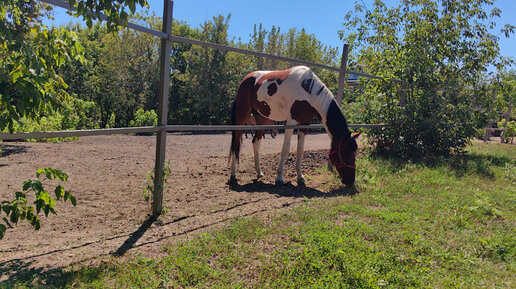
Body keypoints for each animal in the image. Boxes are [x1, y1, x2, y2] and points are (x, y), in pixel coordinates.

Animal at [230, 65, 358, 184]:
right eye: (347, 153)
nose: (350, 181)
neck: (308, 91)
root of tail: (246, 79)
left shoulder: (304, 124)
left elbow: (300, 150)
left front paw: (300, 177)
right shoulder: (291, 123)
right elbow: (286, 149)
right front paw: (279, 177)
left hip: (262, 120)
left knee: (256, 142)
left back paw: (259, 172)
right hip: (241, 116)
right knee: (236, 143)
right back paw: (233, 174)